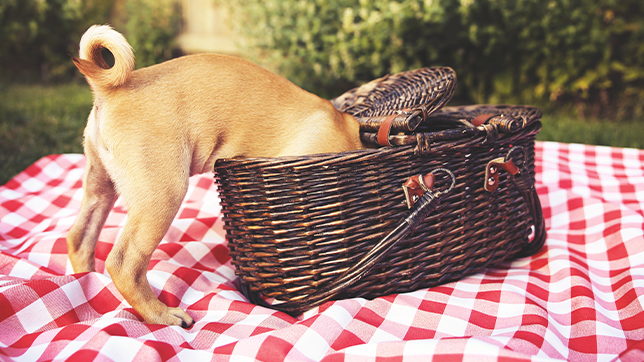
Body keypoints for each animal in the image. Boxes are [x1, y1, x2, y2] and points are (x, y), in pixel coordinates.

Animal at [67, 24, 364, 326]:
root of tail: (111, 89)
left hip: (100, 185)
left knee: (80, 238)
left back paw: (88, 281)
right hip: (163, 195)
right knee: (125, 264)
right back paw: (161, 315)